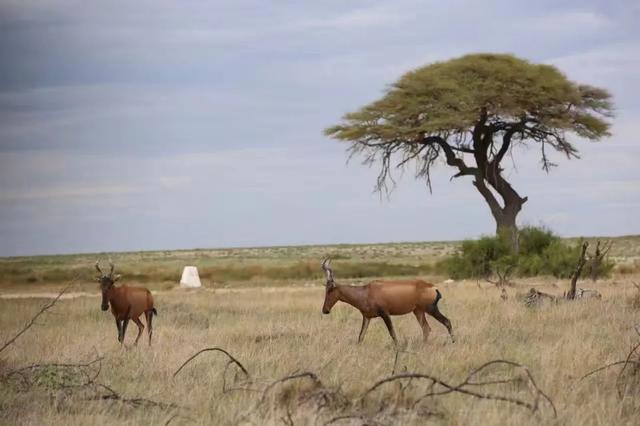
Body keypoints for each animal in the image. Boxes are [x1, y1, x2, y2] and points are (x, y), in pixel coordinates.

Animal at [322, 258, 452, 344]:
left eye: (330, 290)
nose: (325, 310)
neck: (366, 291)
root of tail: (433, 287)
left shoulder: (385, 314)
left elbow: (392, 333)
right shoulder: (367, 317)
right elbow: (361, 336)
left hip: (431, 309)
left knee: (447, 321)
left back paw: (453, 342)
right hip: (418, 311)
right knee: (426, 329)